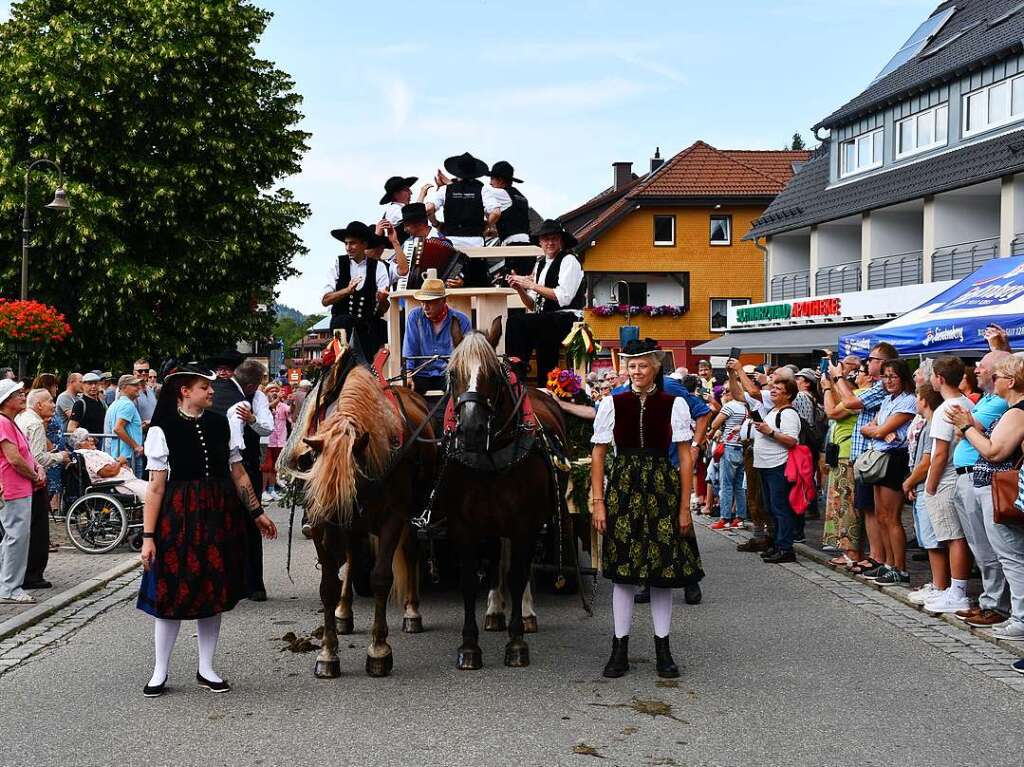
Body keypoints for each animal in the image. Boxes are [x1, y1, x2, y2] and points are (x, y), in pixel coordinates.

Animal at [440, 319, 569, 667]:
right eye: (452, 372)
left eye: (493, 374)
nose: (471, 430)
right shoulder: (464, 526)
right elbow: (470, 580)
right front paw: (469, 646)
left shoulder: (525, 523)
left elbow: (518, 574)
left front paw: (516, 642)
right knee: (499, 558)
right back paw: (496, 608)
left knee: (518, 567)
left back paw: (524, 611)